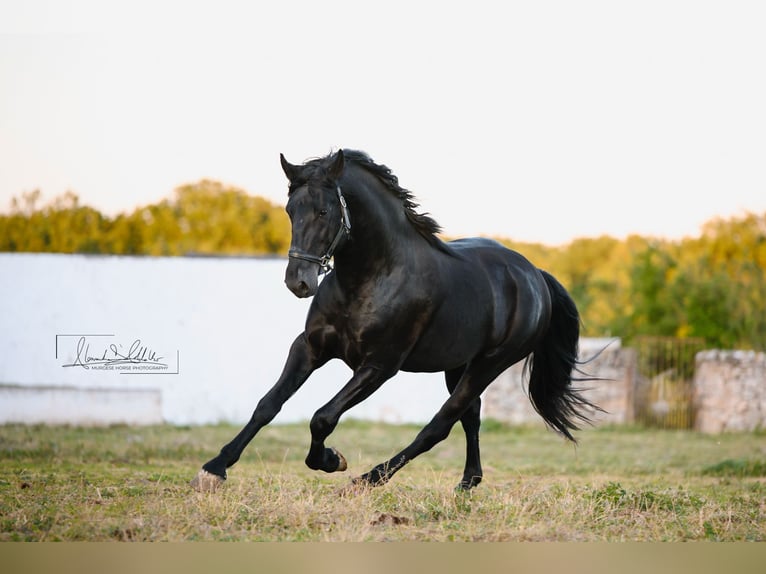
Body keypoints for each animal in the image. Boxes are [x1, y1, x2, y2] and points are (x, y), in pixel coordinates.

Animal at [191, 149, 599, 492]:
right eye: (291, 210)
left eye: (323, 211)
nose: (299, 282)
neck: (371, 277)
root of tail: (534, 275)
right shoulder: (309, 348)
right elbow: (268, 404)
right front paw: (214, 468)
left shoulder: (379, 366)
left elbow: (323, 417)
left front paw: (331, 460)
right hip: (458, 365)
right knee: (470, 417)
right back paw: (468, 481)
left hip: (489, 364)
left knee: (439, 426)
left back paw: (368, 479)